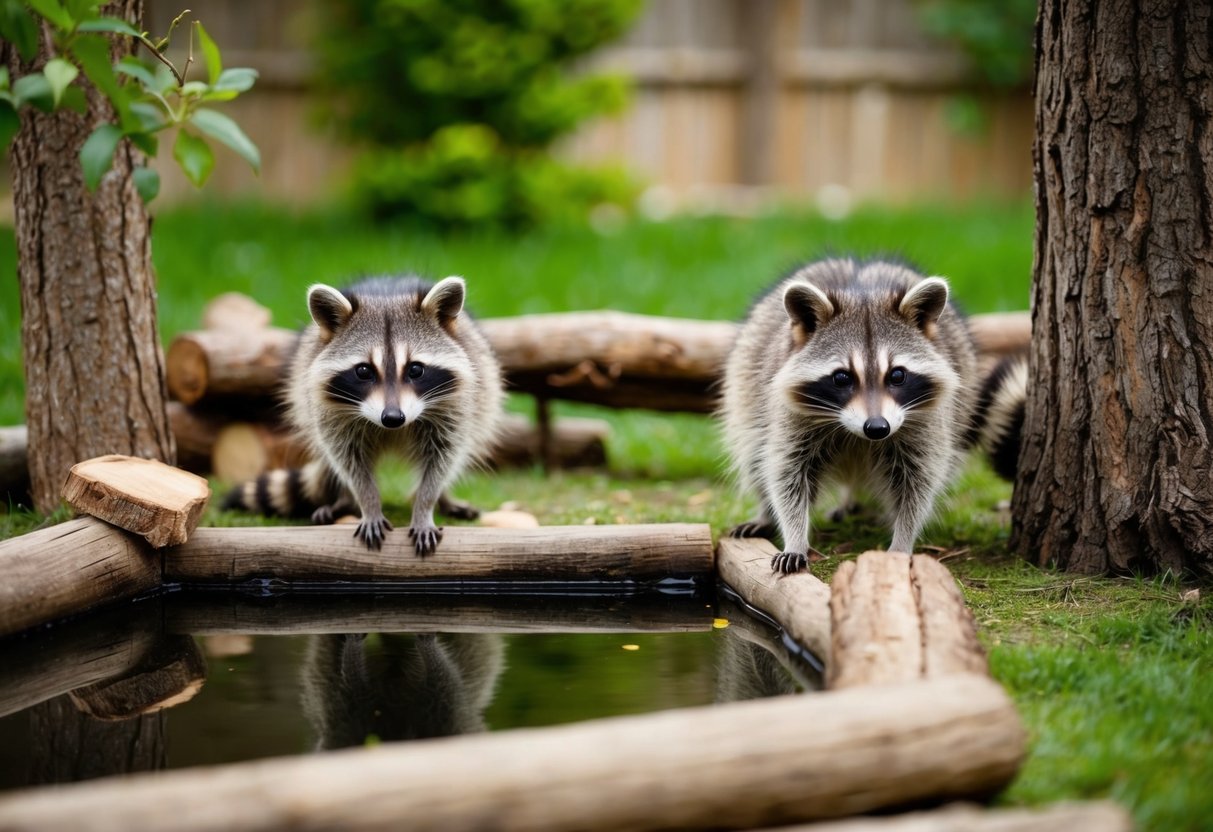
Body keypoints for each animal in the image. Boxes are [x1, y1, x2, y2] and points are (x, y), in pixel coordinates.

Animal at [224, 276, 503, 554]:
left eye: (415, 369)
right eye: (364, 371)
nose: (393, 418)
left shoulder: (455, 407)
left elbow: (442, 459)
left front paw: (425, 506)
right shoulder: (330, 413)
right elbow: (349, 461)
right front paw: (368, 504)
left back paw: (444, 498)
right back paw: (344, 500)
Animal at [720, 258, 979, 574]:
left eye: (897, 375)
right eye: (842, 377)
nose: (877, 428)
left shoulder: (925, 420)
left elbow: (918, 482)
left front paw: (903, 539)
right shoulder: (786, 414)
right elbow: (786, 474)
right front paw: (794, 536)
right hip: (746, 387)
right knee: (754, 454)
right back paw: (766, 513)